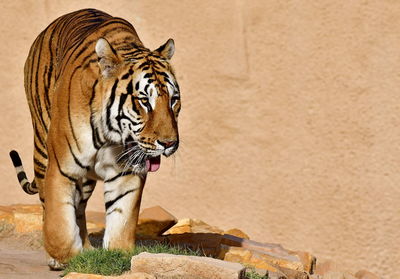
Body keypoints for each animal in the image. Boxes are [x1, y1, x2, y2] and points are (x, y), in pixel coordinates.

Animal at [8, 8, 180, 270]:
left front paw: (117, 256)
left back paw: (87, 247)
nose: (169, 144)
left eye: (173, 100)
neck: (112, 137)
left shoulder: (125, 174)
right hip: (42, 150)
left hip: (85, 180)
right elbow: (59, 223)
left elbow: (121, 220)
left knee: (79, 208)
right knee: (49, 204)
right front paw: (64, 258)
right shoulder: (61, 169)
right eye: (144, 101)